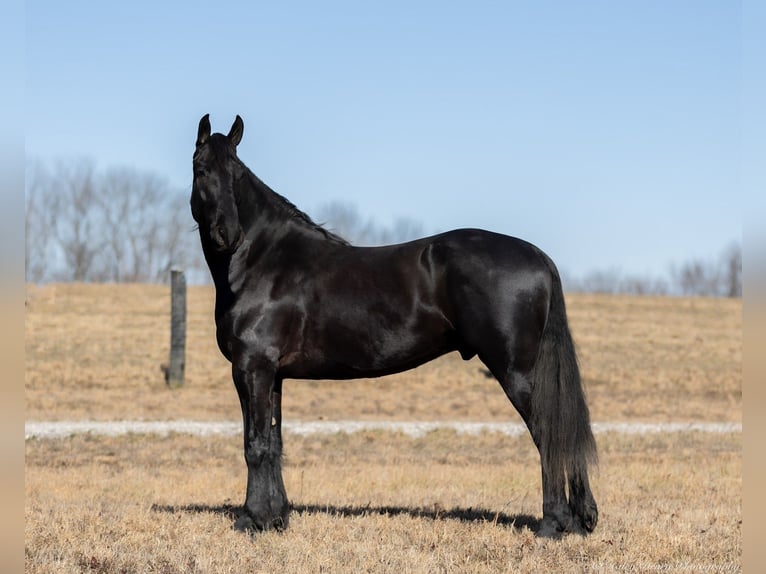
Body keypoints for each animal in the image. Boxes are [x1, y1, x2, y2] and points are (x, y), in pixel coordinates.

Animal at [190, 113, 600, 540]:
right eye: (201, 170)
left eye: (236, 173)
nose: (227, 234)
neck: (265, 261)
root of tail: (538, 255)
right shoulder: (273, 375)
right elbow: (274, 442)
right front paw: (275, 518)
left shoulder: (251, 369)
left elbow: (254, 444)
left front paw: (250, 520)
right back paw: (581, 520)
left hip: (516, 372)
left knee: (549, 433)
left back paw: (553, 523)